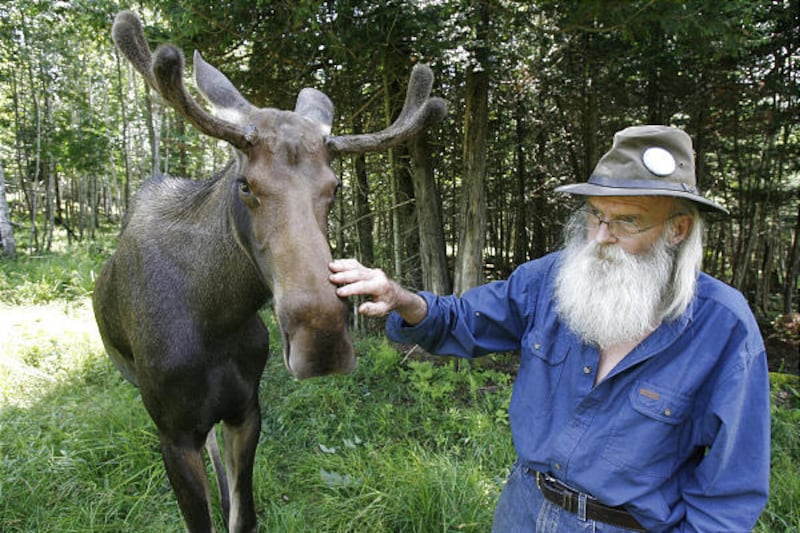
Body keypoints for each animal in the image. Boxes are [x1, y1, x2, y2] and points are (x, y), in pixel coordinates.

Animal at [93, 11, 446, 533]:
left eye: (336, 187)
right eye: (245, 185)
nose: (322, 342)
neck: (217, 319)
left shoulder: (248, 410)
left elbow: (244, 516)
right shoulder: (172, 432)